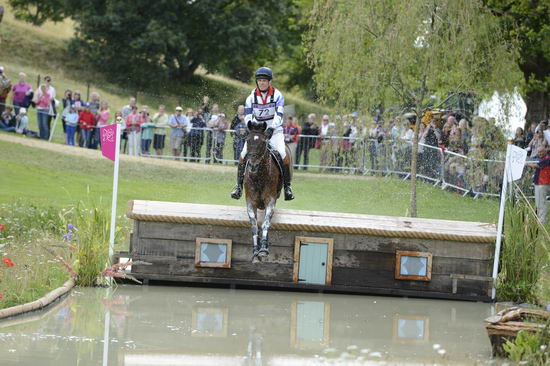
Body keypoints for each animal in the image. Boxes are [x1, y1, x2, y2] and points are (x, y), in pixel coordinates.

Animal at [246, 121, 294, 262]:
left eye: (263, 142)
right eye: (247, 140)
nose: (253, 166)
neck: (259, 176)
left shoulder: (270, 200)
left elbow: (266, 223)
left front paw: (263, 249)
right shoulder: (250, 201)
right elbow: (254, 225)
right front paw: (255, 252)